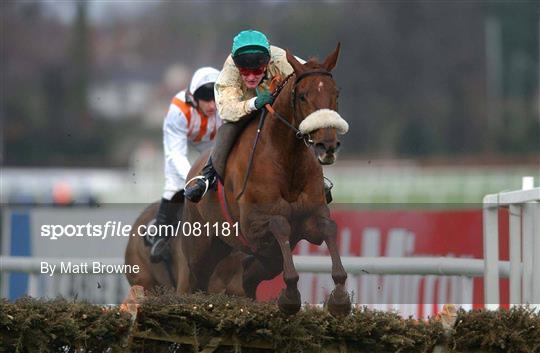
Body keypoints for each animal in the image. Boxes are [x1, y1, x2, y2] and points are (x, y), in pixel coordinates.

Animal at [179, 42, 352, 314]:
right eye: (303, 96)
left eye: (336, 94)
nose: (327, 145)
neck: (286, 159)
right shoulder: (253, 227)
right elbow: (279, 224)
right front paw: (290, 296)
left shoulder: (311, 217)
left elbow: (328, 227)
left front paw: (340, 298)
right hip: (201, 251)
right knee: (194, 283)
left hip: (262, 260)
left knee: (245, 278)